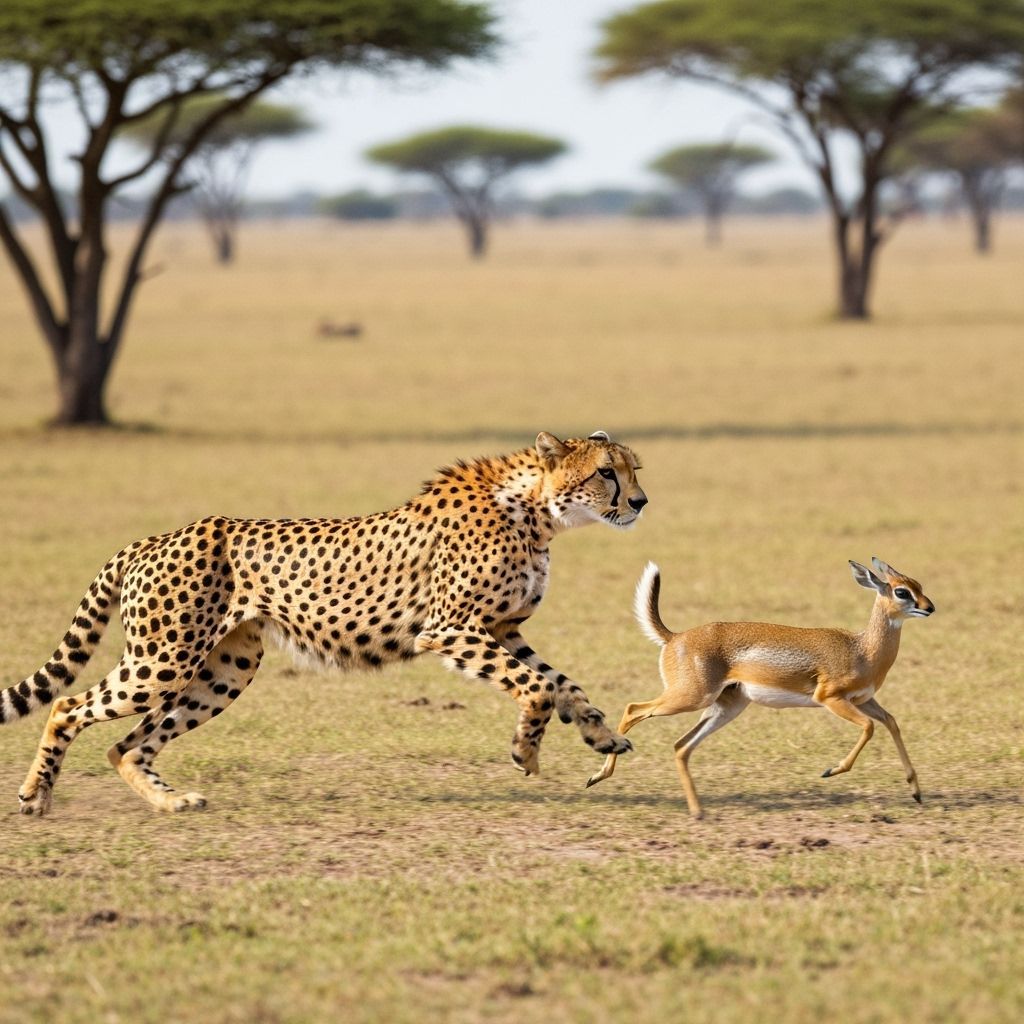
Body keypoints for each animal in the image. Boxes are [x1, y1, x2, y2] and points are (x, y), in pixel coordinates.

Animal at [1, 430, 647, 816]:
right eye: (606, 473)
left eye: (634, 469)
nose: (641, 503)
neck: (536, 510)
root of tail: (151, 538)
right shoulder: (449, 628)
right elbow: (536, 687)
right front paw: (526, 751)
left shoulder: (503, 629)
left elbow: (563, 684)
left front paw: (600, 736)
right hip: (162, 660)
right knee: (68, 707)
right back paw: (35, 795)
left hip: (225, 668)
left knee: (126, 745)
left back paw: (170, 801)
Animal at [586, 557, 934, 817]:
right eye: (901, 592)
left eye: (918, 585)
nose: (930, 607)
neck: (861, 649)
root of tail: (674, 637)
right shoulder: (831, 698)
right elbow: (868, 728)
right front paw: (831, 770)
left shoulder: (863, 700)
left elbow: (891, 722)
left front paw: (916, 792)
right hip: (689, 698)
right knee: (633, 709)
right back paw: (597, 776)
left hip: (725, 707)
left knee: (681, 746)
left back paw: (698, 811)